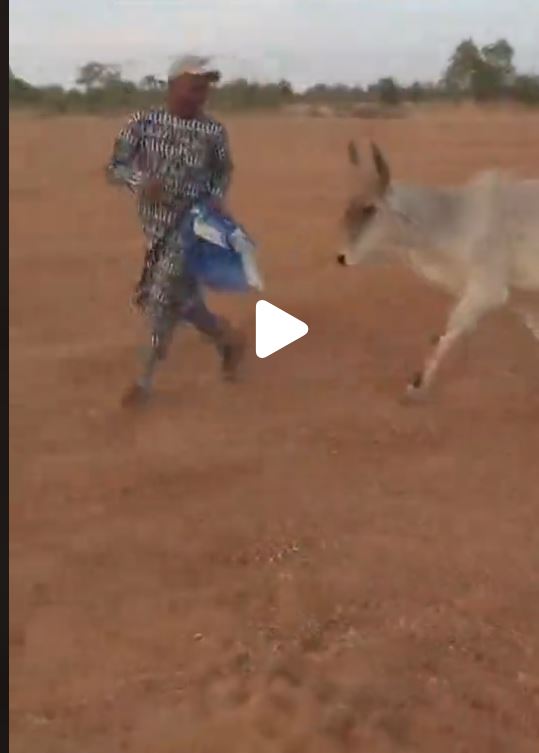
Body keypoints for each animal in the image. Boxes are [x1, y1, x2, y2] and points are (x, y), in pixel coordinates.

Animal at [338, 140, 539, 394]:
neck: (449, 218)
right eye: (347, 208)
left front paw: (418, 383)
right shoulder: (513, 294)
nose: (342, 257)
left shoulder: (486, 291)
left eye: (370, 209)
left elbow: (450, 330)